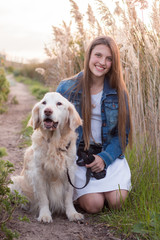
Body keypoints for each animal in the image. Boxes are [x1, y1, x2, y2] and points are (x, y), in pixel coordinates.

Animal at [9, 92, 84, 223]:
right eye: (44, 103)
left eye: (59, 103)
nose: (47, 111)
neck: (54, 143)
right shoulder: (38, 173)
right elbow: (43, 198)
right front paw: (44, 214)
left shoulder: (69, 172)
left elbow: (68, 196)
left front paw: (72, 213)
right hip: (15, 182)